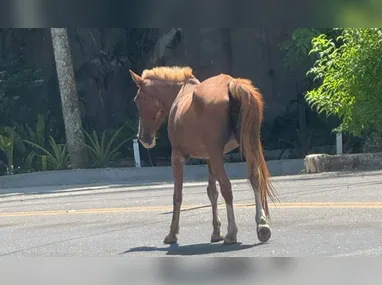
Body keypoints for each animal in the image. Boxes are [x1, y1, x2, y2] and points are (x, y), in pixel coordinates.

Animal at [129, 65, 278, 244]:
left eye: (137, 99)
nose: (143, 138)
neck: (179, 94)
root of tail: (232, 84)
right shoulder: (208, 158)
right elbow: (212, 192)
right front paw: (216, 232)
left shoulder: (178, 155)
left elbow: (177, 195)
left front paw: (172, 233)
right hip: (248, 146)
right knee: (254, 179)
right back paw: (262, 225)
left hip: (218, 154)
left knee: (227, 187)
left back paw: (232, 232)